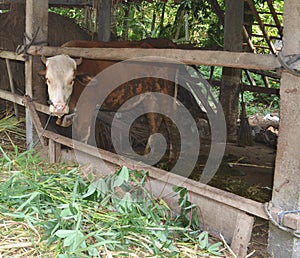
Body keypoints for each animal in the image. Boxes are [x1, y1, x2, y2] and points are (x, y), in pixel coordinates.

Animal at [39, 38, 183, 161]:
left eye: (72, 80)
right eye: (47, 79)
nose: (59, 107)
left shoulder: (86, 107)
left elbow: (82, 135)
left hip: (165, 94)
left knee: (171, 121)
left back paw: (172, 158)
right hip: (151, 96)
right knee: (154, 119)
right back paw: (147, 155)